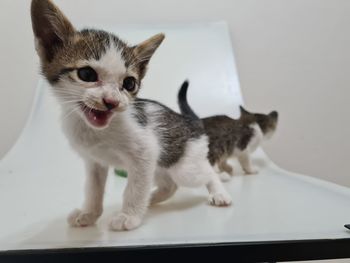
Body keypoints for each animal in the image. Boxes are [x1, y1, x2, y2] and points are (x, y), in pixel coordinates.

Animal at [30, 0, 232, 231]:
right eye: (87, 74)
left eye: (129, 83)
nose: (111, 101)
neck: (97, 131)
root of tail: (191, 122)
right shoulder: (94, 162)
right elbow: (93, 189)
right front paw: (89, 213)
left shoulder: (145, 153)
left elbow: (135, 188)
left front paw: (129, 215)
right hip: (161, 165)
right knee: (170, 184)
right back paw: (152, 199)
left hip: (185, 166)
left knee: (206, 172)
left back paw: (219, 192)